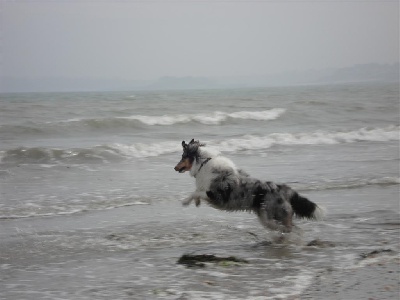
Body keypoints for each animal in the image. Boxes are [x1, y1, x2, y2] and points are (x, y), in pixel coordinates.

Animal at [173, 139, 324, 233]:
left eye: (183, 156)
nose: (175, 168)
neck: (203, 163)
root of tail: (283, 189)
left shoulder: (214, 194)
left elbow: (196, 192)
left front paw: (185, 202)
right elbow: (197, 191)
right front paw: (196, 203)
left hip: (273, 216)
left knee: (293, 229)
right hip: (266, 218)